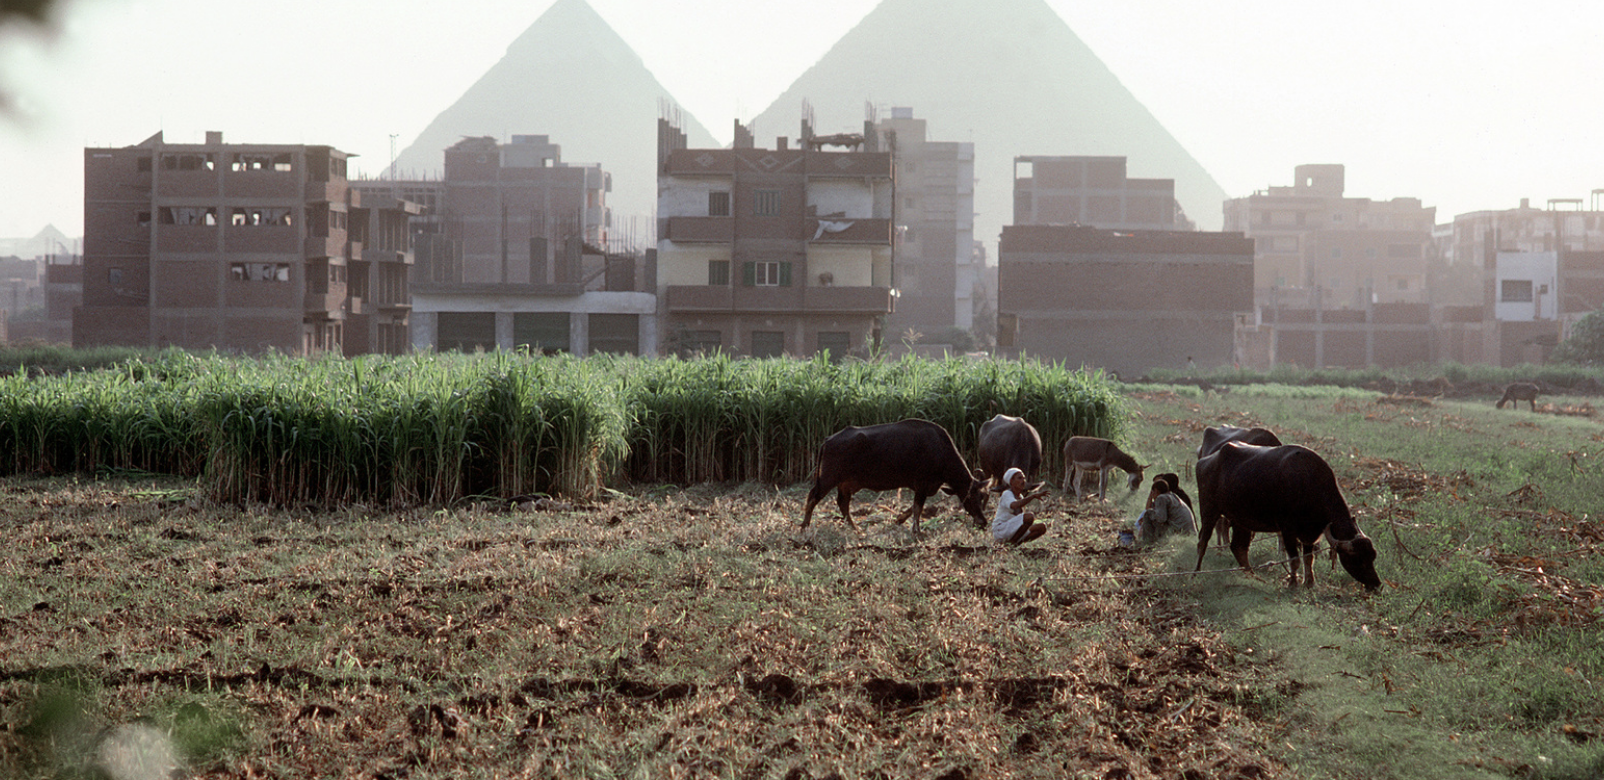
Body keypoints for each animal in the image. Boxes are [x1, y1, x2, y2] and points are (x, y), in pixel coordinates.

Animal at [795, 420, 981, 536]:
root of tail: (828, 439)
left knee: (842, 503)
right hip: (828, 478)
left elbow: (914, 508)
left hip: (844, 484)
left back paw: (856, 529)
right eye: (973, 496)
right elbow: (918, 508)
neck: (939, 449)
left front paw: (899, 519)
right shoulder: (922, 485)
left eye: (984, 497)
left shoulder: (925, 488)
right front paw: (917, 531)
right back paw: (804, 526)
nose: (983, 521)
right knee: (813, 497)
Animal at [1193, 442, 1379, 587]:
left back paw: (1253, 576)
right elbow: (1295, 559)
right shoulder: (1287, 529)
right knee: (1202, 542)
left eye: (1372, 556)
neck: (1308, 483)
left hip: (1240, 520)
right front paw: (1293, 583)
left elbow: (1308, 558)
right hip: (1209, 510)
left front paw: (1309, 582)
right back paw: (1196, 572)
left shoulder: (1309, 533)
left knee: (1238, 547)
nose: (1377, 584)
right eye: (1357, 559)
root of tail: (1205, 461)